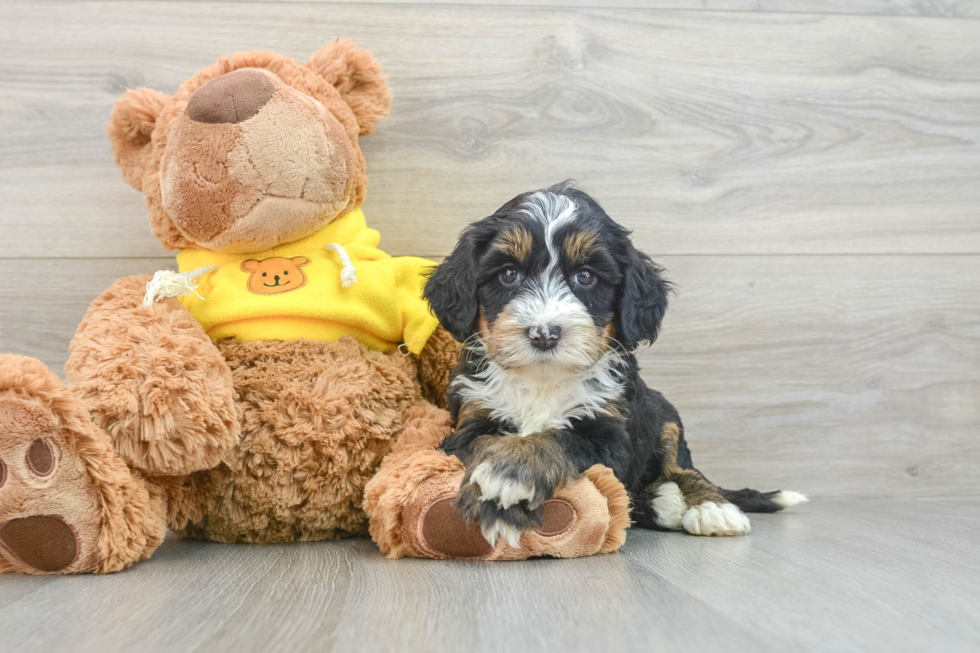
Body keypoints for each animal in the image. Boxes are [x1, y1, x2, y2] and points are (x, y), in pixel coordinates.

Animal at [424, 182, 808, 544]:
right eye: (507, 274)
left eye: (586, 276)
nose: (544, 334)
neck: (544, 380)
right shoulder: (471, 418)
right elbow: (484, 443)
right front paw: (498, 492)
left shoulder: (610, 433)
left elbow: (558, 438)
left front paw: (510, 475)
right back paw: (662, 503)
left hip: (664, 416)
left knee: (684, 469)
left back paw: (710, 507)